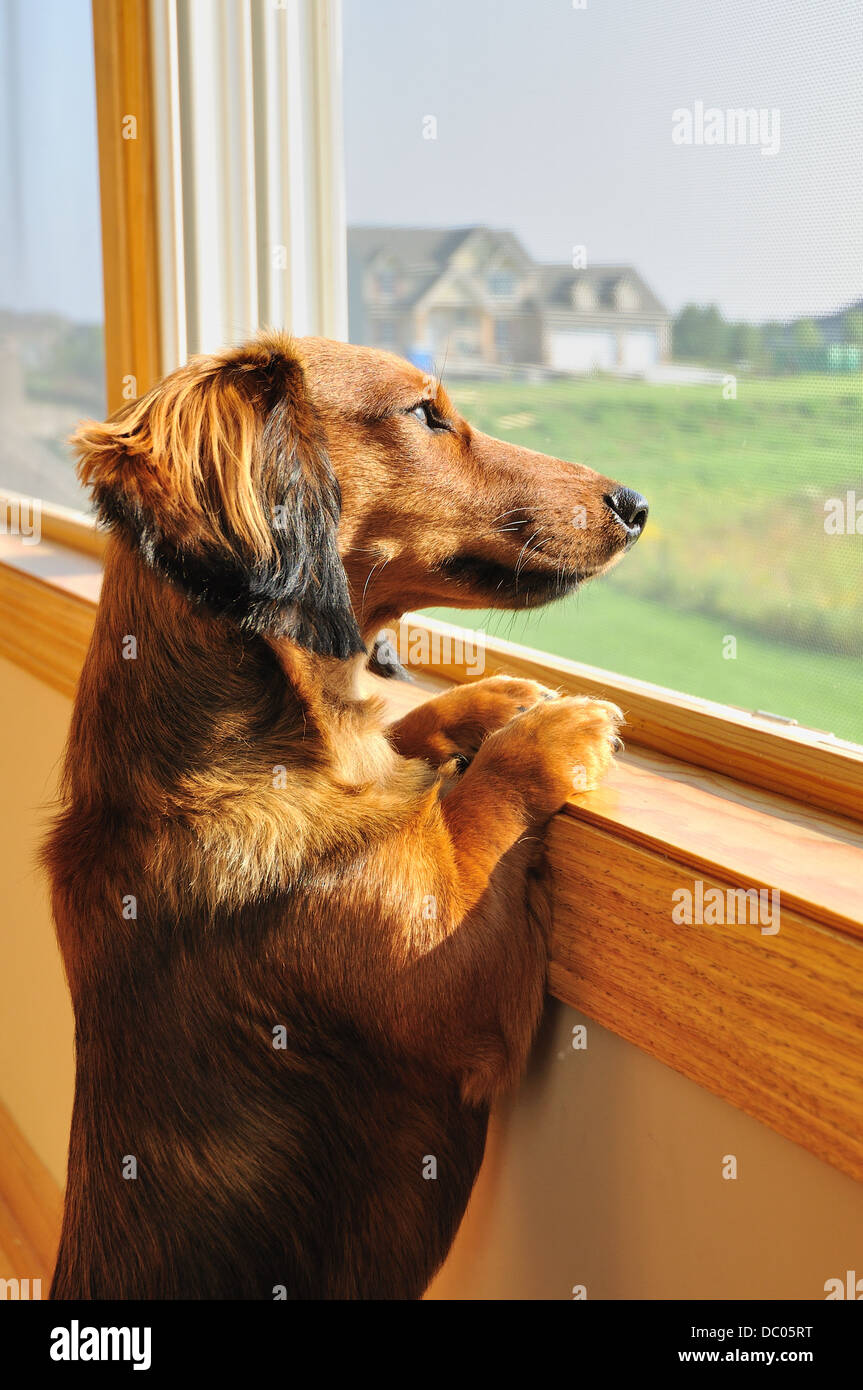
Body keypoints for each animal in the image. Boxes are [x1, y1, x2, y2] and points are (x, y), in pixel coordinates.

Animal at [43, 330, 642, 1295]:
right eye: (425, 414)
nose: (634, 505)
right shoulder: (457, 971)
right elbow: (476, 807)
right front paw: (544, 731)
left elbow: (405, 737)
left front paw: (492, 699)